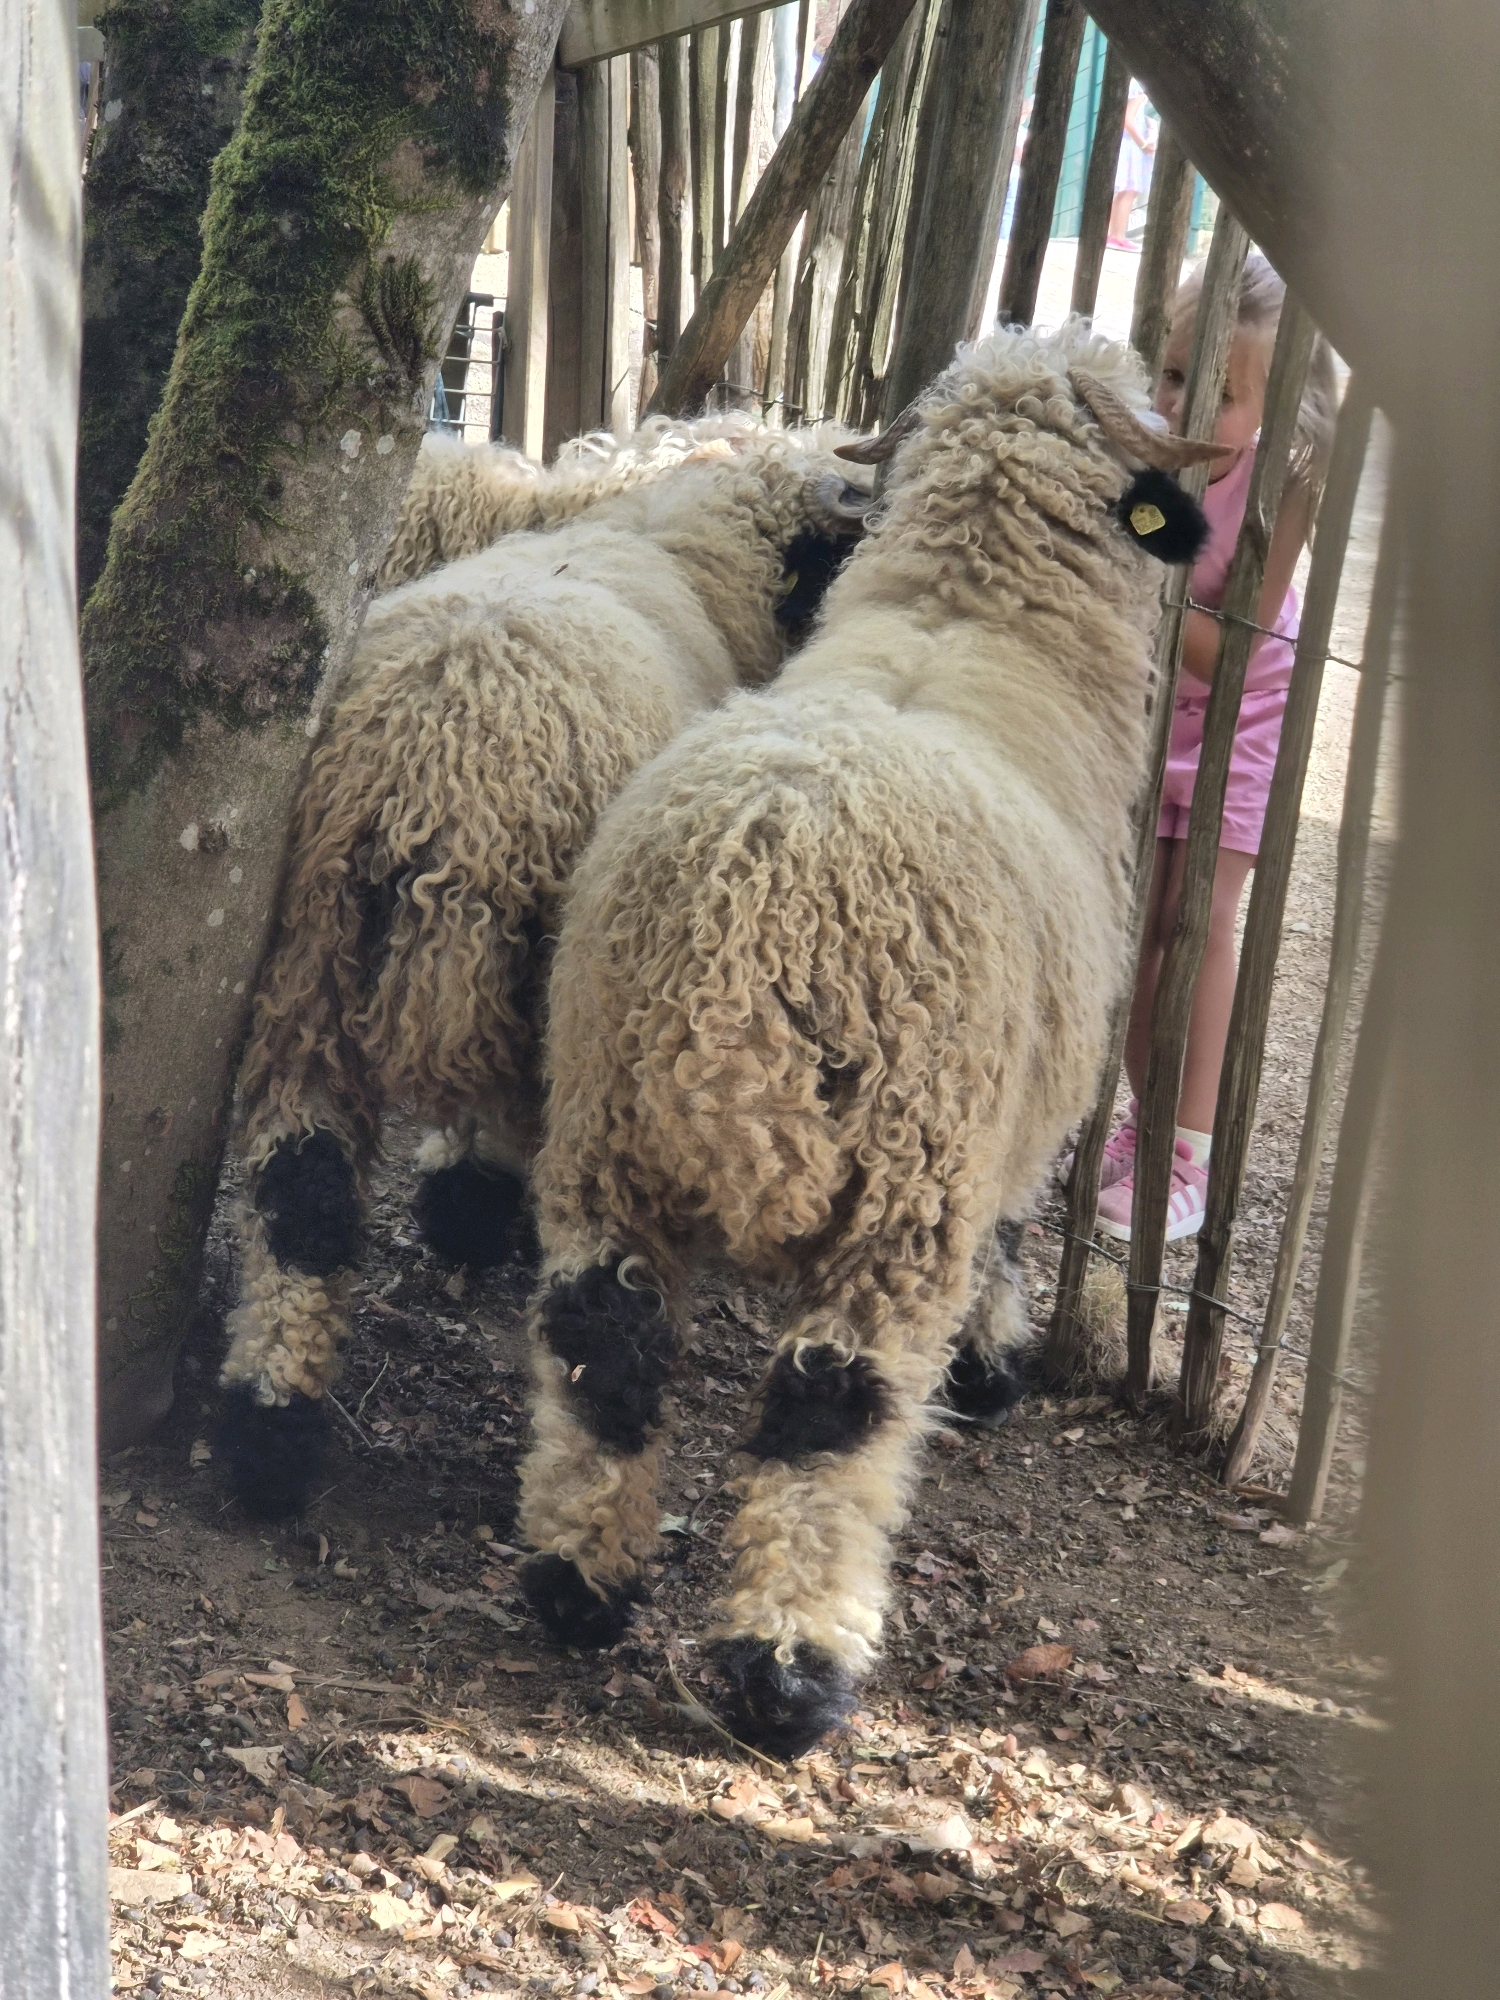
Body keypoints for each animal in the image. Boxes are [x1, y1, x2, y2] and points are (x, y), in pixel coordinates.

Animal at [217, 422, 874, 1521]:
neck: (670, 539)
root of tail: (438, 762)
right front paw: (468, 1208)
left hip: (311, 968)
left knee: (300, 1194)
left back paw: (268, 1435)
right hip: (547, 985)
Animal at [516, 322, 1222, 1757]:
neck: (974, 617)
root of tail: (752, 919)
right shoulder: (1019, 1111)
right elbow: (1017, 1227)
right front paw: (997, 1366)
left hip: (604, 1129)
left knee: (601, 1350)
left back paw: (577, 1583)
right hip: (900, 1189)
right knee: (829, 1414)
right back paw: (790, 1674)